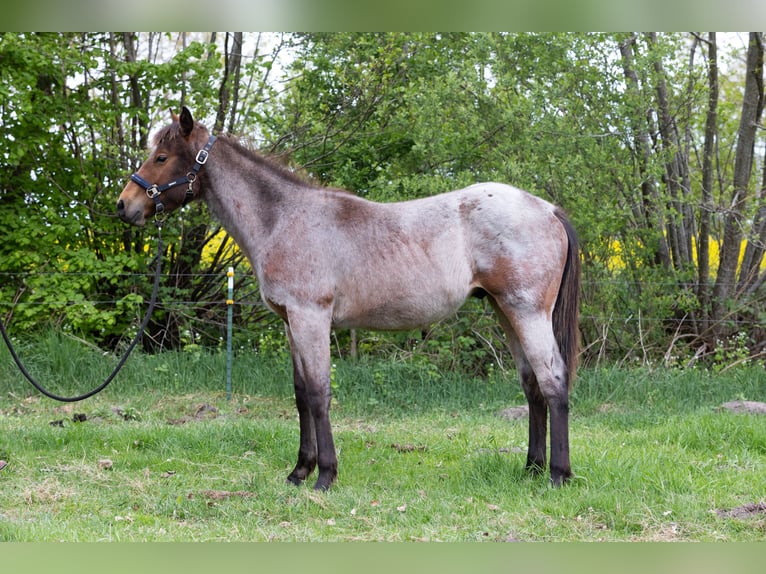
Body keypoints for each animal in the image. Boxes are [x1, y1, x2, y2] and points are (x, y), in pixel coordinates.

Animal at [117, 107, 581, 491]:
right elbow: (301, 395)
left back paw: (557, 475)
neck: (283, 219)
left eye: (162, 157)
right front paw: (298, 472)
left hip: (527, 312)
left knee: (553, 381)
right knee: (532, 385)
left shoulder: (311, 318)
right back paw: (531, 469)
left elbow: (319, 394)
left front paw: (325, 476)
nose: (125, 205)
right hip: (506, 312)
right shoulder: (291, 323)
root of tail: (548, 208)